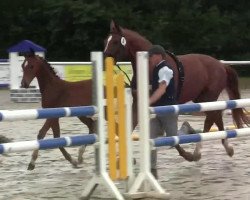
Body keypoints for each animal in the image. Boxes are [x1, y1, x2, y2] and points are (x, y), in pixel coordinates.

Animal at [104, 19, 250, 161]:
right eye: (106, 41)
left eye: (115, 41)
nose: (106, 60)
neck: (150, 66)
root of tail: (221, 65)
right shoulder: (138, 104)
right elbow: (130, 126)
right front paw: (119, 157)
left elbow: (171, 134)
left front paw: (187, 155)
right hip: (203, 99)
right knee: (216, 116)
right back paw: (226, 147)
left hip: (209, 97)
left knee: (211, 118)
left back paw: (198, 152)